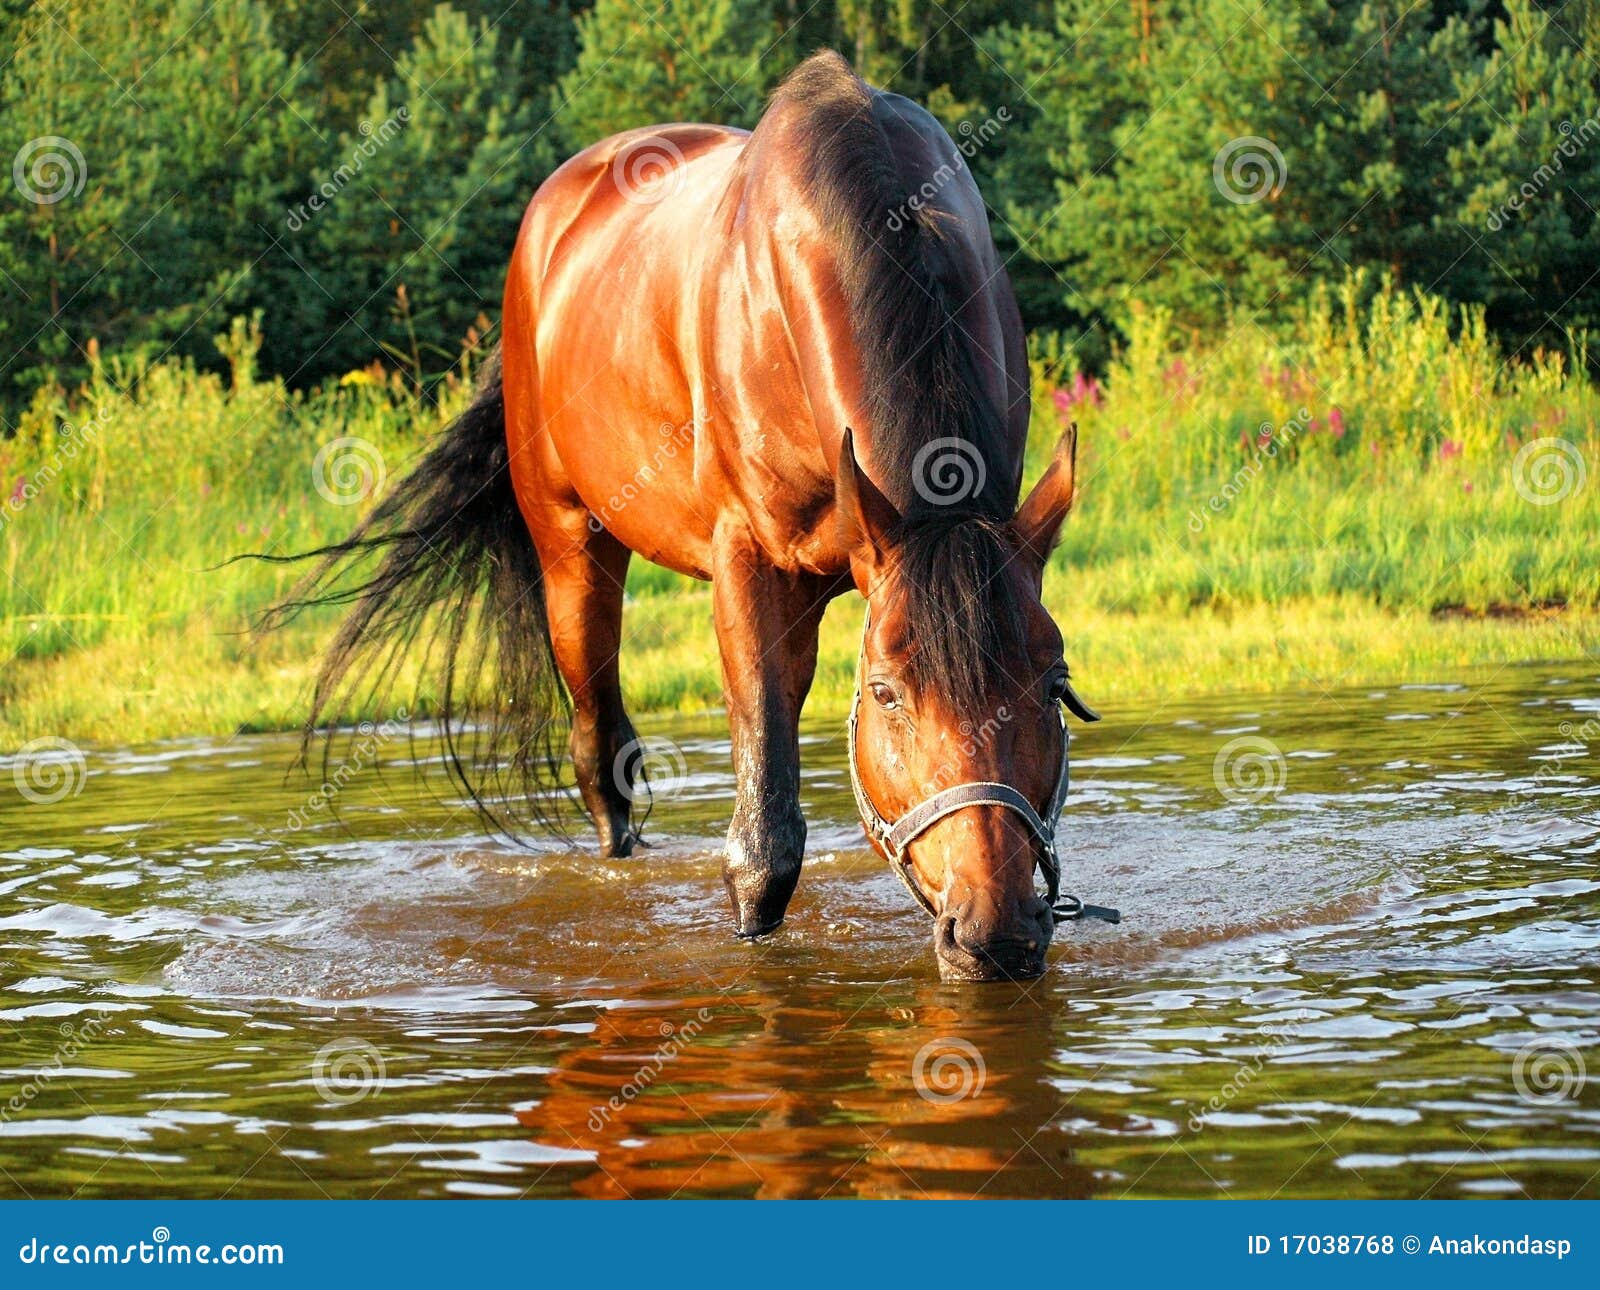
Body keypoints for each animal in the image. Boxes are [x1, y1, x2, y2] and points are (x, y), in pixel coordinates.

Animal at [268, 50, 1103, 982]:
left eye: (1056, 683)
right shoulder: (747, 567)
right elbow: (763, 847)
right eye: (886, 692)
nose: (996, 932)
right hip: (572, 555)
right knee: (601, 757)